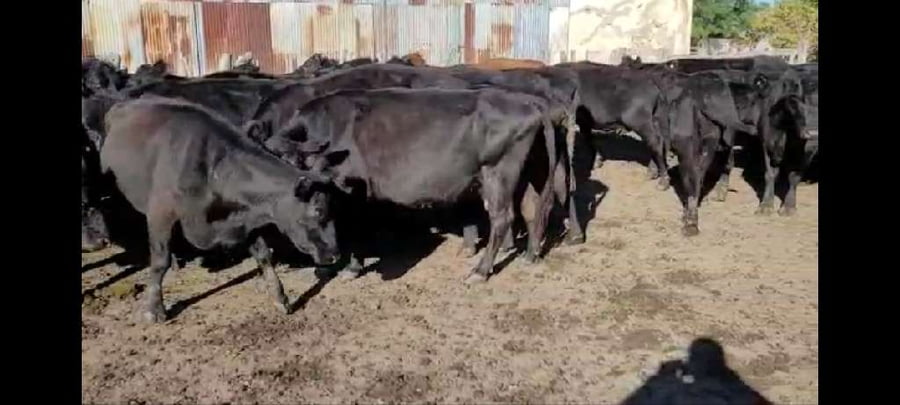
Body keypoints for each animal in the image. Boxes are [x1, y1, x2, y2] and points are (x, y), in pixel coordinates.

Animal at [100, 96, 342, 322]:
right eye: (318, 210)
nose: (334, 254)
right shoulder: (161, 212)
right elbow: (160, 262)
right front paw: (154, 309)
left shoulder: (247, 217)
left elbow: (264, 255)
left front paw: (280, 298)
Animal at [263, 87, 557, 284]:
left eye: (292, 162)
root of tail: (526, 100)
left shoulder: (352, 193)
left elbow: (354, 231)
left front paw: (350, 268)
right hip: (527, 171)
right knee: (532, 208)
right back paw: (530, 255)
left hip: (498, 170)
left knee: (502, 218)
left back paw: (480, 271)